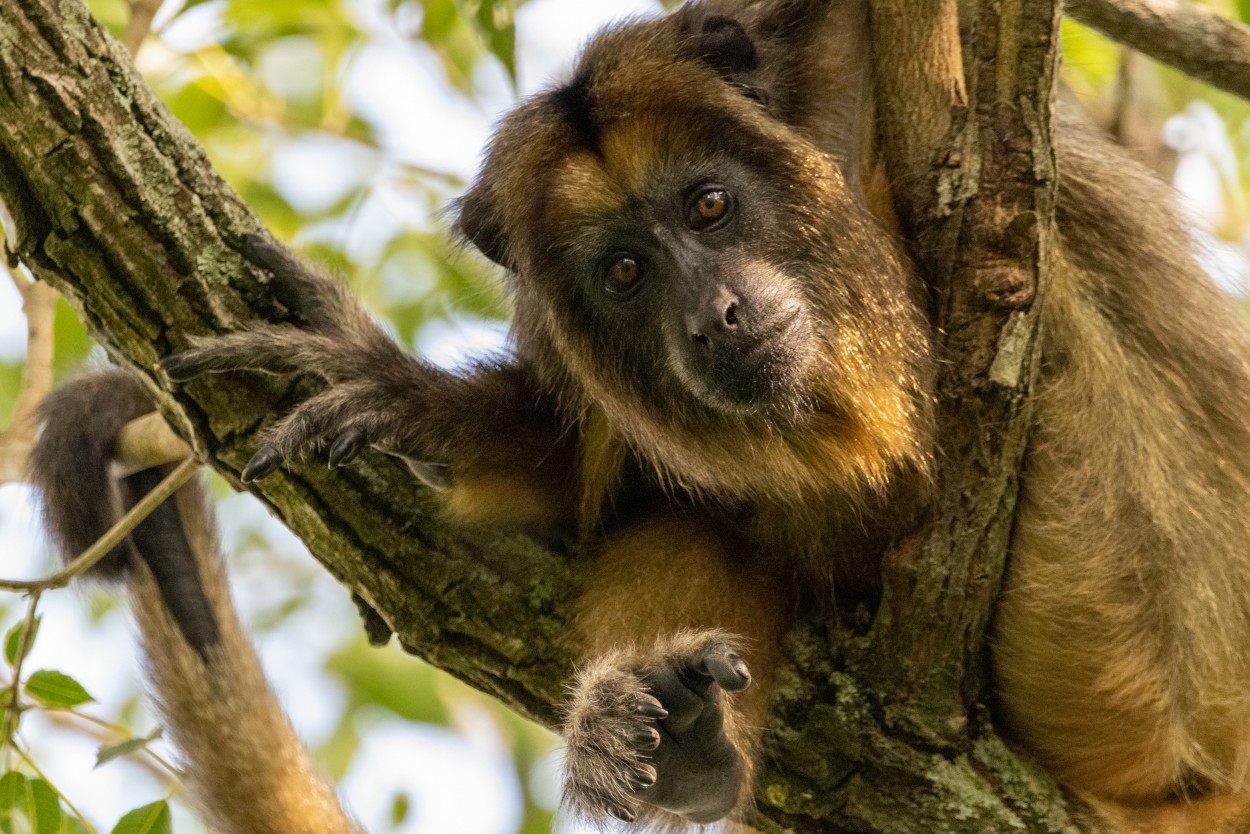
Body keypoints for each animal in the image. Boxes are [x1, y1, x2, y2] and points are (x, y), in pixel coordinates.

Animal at [29, 0, 1250, 830]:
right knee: (685, 525)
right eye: (623, 273)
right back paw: (674, 736)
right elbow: (589, 492)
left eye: (708, 205)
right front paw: (415, 401)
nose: (714, 316)